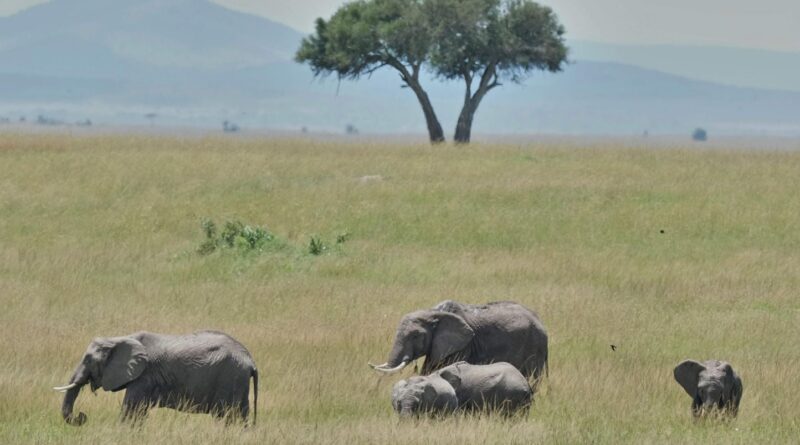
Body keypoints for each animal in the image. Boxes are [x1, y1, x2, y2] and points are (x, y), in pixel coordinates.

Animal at [53, 330, 258, 426]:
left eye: (88, 359)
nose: (82, 416)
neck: (120, 338)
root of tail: (250, 360)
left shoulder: (144, 376)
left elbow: (130, 411)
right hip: (238, 381)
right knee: (241, 416)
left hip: (230, 378)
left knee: (227, 415)